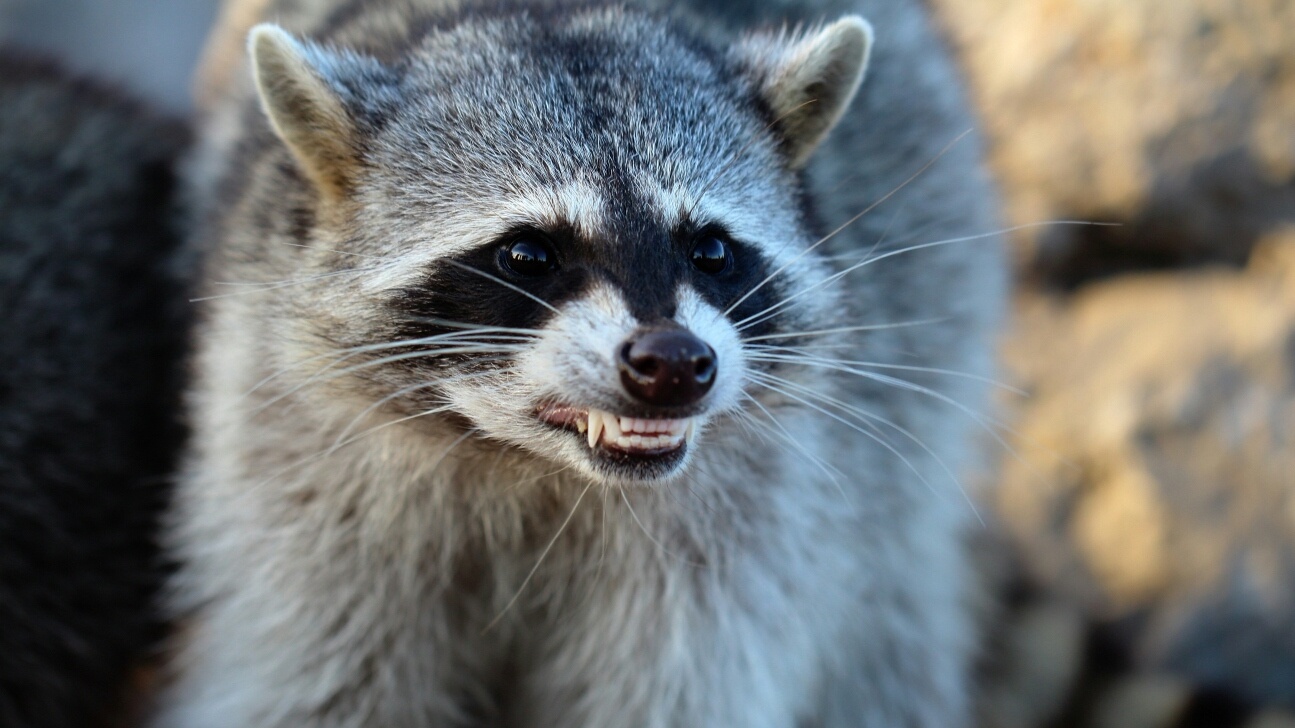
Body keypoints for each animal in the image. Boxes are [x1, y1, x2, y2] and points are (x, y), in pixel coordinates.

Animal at [156, 0, 1010, 720]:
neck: (534, 466)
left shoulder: (747, 530)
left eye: (710, 251)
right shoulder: (303, 492)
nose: (675, 362)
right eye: (527, 254)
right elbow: (320, 681)